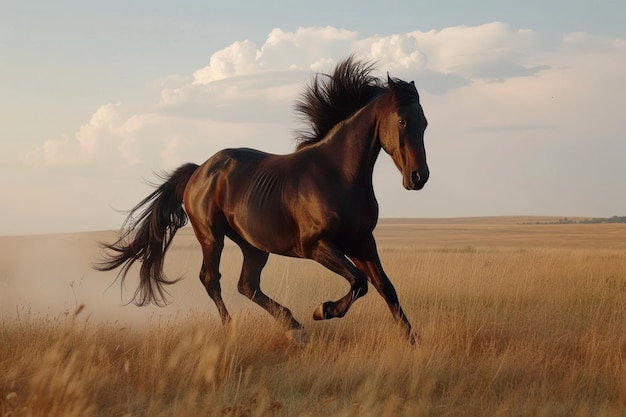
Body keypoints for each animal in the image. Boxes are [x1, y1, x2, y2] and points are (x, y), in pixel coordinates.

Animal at [96, 58, 428, 344]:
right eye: (401, 121)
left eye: (424, 122)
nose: (418, 177)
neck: (337, 174)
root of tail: (199, 170)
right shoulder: (317, 246)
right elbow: (359, 282)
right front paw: (323, 310)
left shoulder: (361, 241)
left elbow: (385, 287)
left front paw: (412, 342)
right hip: (212, 236)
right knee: (211, 279)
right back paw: (234, 328)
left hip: (253, 245)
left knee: (247, 285)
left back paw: (294, 328)